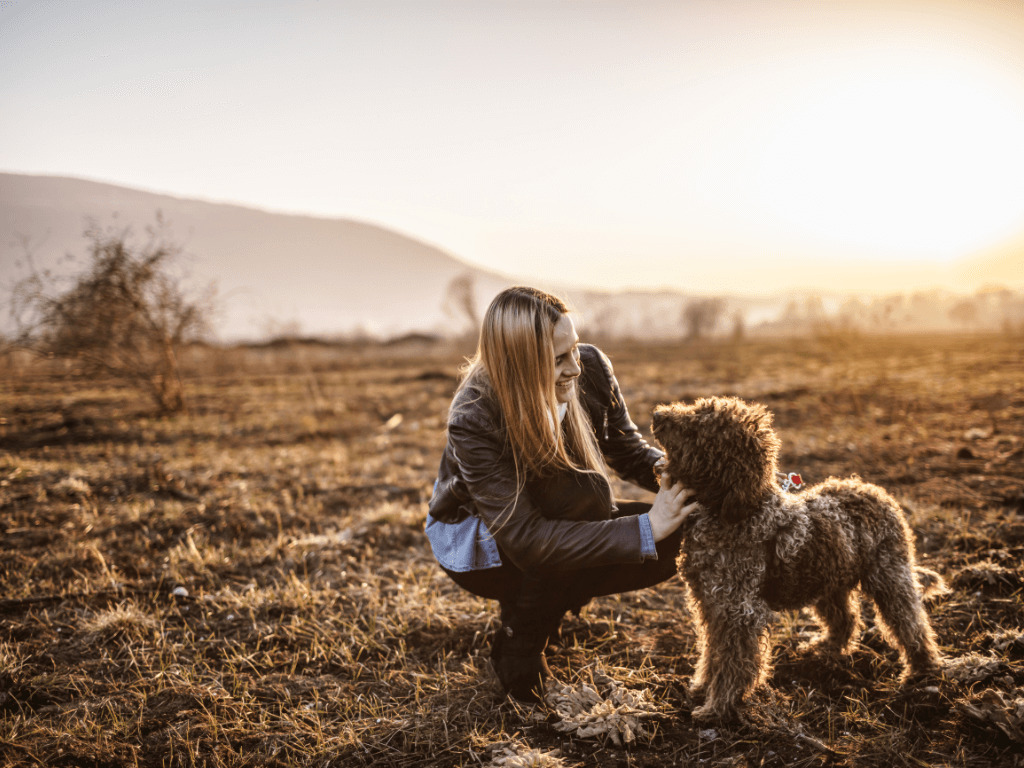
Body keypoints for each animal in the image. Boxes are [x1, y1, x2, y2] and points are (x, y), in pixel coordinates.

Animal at [651, 399, 946, 724]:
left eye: (699, 428)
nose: (657, 414)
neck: (734, 511)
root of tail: (874, 491)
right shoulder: (711, 604)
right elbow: (711, 652)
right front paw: (702, 687)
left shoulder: (739, 612)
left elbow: (733, 661)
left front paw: (717, 707)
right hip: (829, 580)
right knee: (846, 619)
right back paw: (825, 648)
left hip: (890, 578)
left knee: (911, 625)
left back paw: (922, 670)